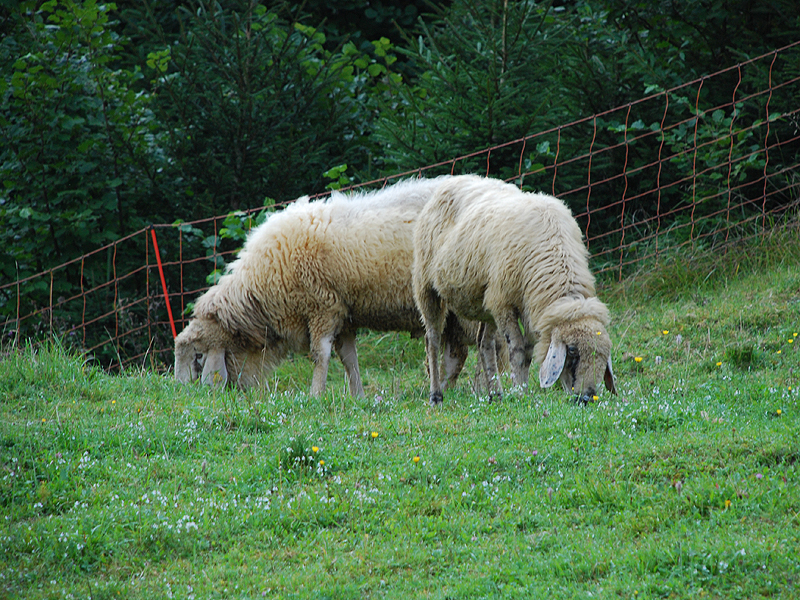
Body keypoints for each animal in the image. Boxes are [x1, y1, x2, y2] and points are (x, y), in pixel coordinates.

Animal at [173, 176, 488, 396]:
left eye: (198, 358)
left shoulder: (322, 306)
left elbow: (320, 355)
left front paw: (315, 395)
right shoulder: (343, 312)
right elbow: (348, 358)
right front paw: (358, 395)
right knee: (457, 354)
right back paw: (447, 388)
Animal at [416, 176, 616, 406]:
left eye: (604, 355)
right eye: (572, 351)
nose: (586, 398)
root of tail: (454, 179)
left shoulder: (529, 304)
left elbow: (527, 352)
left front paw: (522, 390)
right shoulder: (504, 303)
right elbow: (518, 350)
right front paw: (520, 393)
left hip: (485, 302)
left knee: (484, 343)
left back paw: (495, 394)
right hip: (426, 285)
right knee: (433, 340)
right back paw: (436, 395)